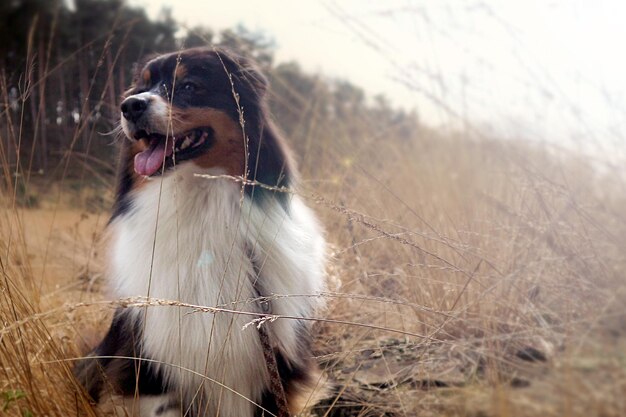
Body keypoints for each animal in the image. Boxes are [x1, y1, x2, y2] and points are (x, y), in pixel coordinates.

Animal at [75, 48, 326, 416]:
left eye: (189, 86)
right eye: (141, 87)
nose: (130, 106)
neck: (200, 201)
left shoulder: (266, 373)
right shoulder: (152, 370)